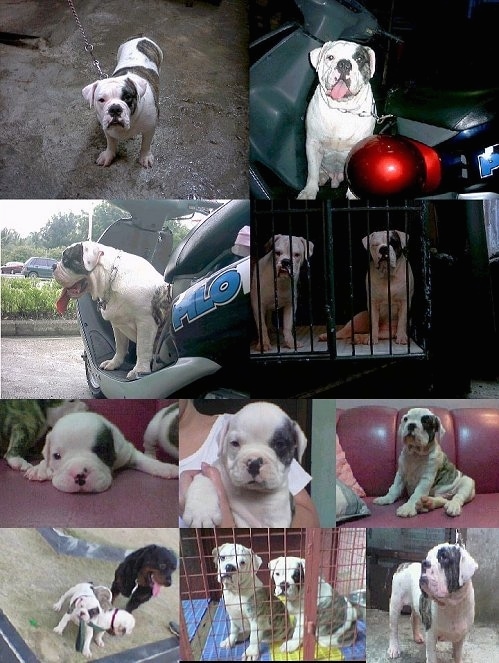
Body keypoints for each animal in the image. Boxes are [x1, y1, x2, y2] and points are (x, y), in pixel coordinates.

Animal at [24, 410, 180, 492]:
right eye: (57, 456)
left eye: (101, 451)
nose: (79, 474)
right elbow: (45, 461)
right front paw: (39, 468)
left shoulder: (127, 452)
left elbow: (145, 461)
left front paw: (165, 467)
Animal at [52, 241, 170, 382]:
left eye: (66, 260)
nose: (53, 266)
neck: (111, 278)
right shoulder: (118, 325)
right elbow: (120, 346)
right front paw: (114, 363)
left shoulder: (146, 322)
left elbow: (143, 348)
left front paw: (139, 370)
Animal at [83, 36, 163, 169]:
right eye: (101, 100)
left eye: (127, 97)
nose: (115, 108)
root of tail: (140, 36)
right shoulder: (107, 129)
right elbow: (110, 142)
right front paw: (108, 155)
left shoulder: (149, 128)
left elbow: (146, 144)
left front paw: (145, 157)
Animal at [296, 38, 376, 198]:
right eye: (330, 57)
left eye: (359, 59)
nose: (344, 64)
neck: (342, 109)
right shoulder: (313, 143)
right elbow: (312, 170)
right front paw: (309, 191)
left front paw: (353, 195)